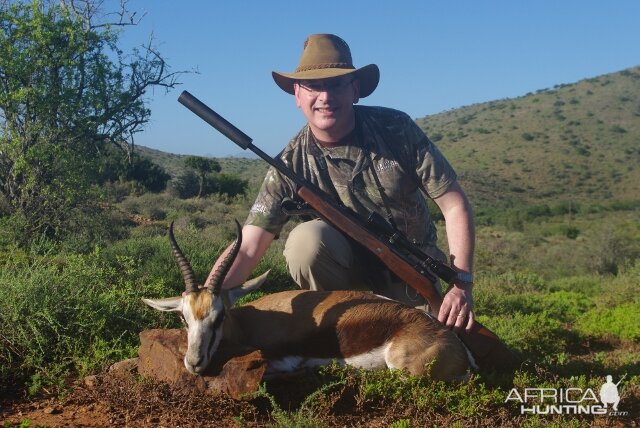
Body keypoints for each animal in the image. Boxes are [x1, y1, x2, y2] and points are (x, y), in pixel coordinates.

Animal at [145, 222, 476, 380]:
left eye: (220, 315)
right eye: (184, 317)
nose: (194, 363)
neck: (249, 322)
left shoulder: (281, 357)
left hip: (401, 368)